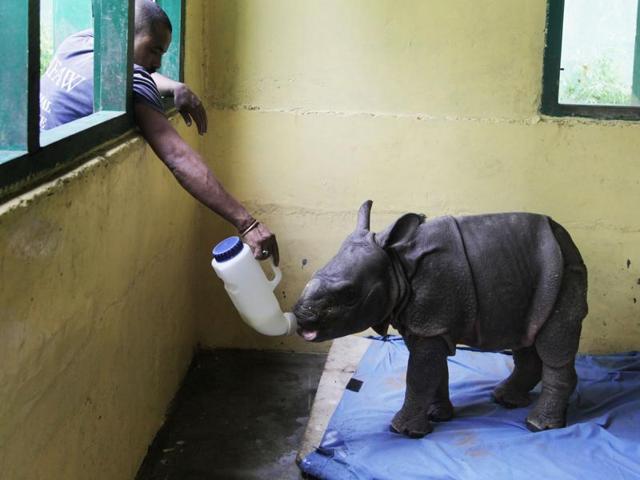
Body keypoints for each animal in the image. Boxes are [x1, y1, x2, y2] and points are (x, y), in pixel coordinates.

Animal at [294, 201, 588, 437]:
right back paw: (505, 400)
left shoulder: (432, 321)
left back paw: (537, 425)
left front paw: (404, 431)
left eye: (349, 294)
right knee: (526, 336)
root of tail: (566, 237)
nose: (300, 317)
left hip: (563, 272)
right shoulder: (428, 324)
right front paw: (437, 416)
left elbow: (419, 375)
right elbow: (433, 372)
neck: (396, 264)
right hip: (530, 277)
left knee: (553, 344)